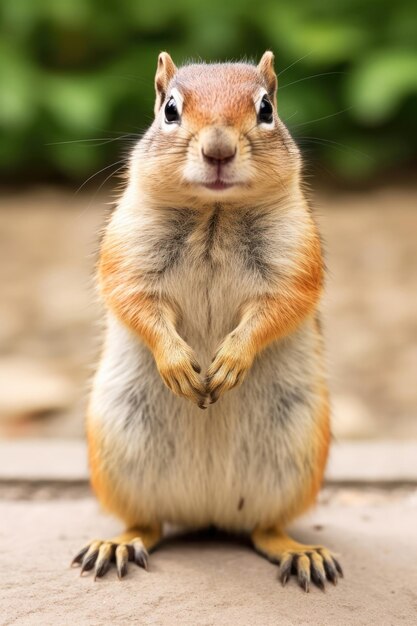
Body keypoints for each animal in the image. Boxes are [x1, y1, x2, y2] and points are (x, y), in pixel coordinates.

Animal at [71, 50, 342, 588]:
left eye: (266, 108)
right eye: (170, 110)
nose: (218, 149)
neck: (215, 212)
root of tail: (207, 513)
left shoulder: (294, 262)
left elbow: (278, 308)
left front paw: (231, 360)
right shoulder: (128, 257)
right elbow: (136, 303)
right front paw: (179, 365)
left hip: (295, 459)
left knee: (264, 528)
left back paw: (298, 552)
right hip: (119, 454)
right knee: (147, 524)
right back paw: (118, 543)